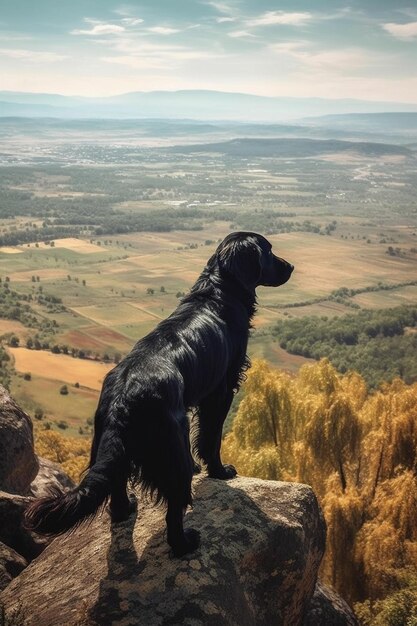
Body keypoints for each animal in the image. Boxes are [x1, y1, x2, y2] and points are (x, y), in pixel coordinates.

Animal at [24, 232, 292, 552]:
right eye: (269, 251)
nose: (291, 266)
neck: (217, 292)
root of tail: (122, 400)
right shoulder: (222, 389)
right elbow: (211, 438)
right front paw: (219, 471)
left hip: (111, 447)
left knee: (116, 492)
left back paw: (128, 509)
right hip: (173, 448)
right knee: (175, 509)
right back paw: (186, 543)